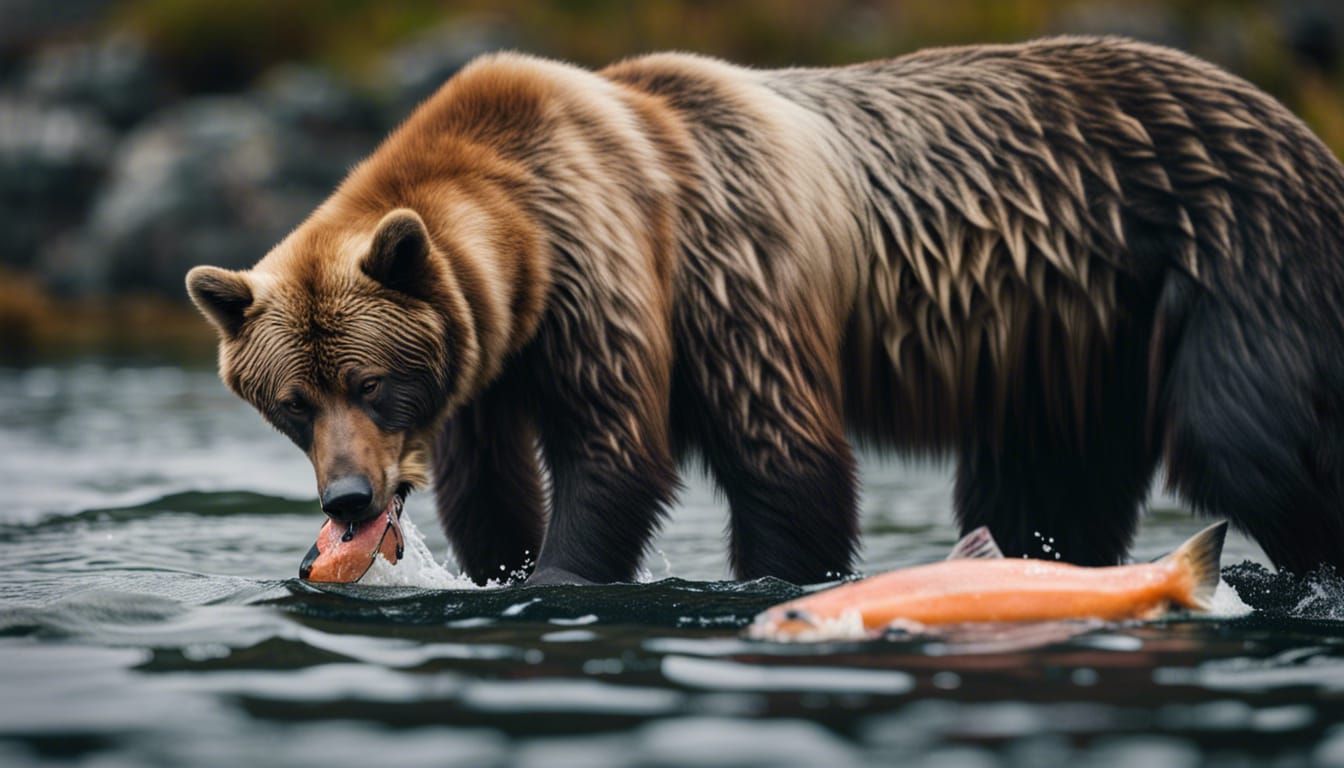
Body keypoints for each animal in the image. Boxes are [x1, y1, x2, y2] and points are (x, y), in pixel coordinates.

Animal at [187, 36, 1344, 586]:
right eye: (291, 403)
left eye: (371, 380)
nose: (346, 498)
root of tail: (1292, 123)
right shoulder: (487, 363)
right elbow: (489, 485)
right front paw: (501, 563)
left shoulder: (688, 272)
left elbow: (715, 455)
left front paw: (571, 571)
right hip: (1066, 339)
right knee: (1046, 479)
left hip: (1225, 261)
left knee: (1249, 446)